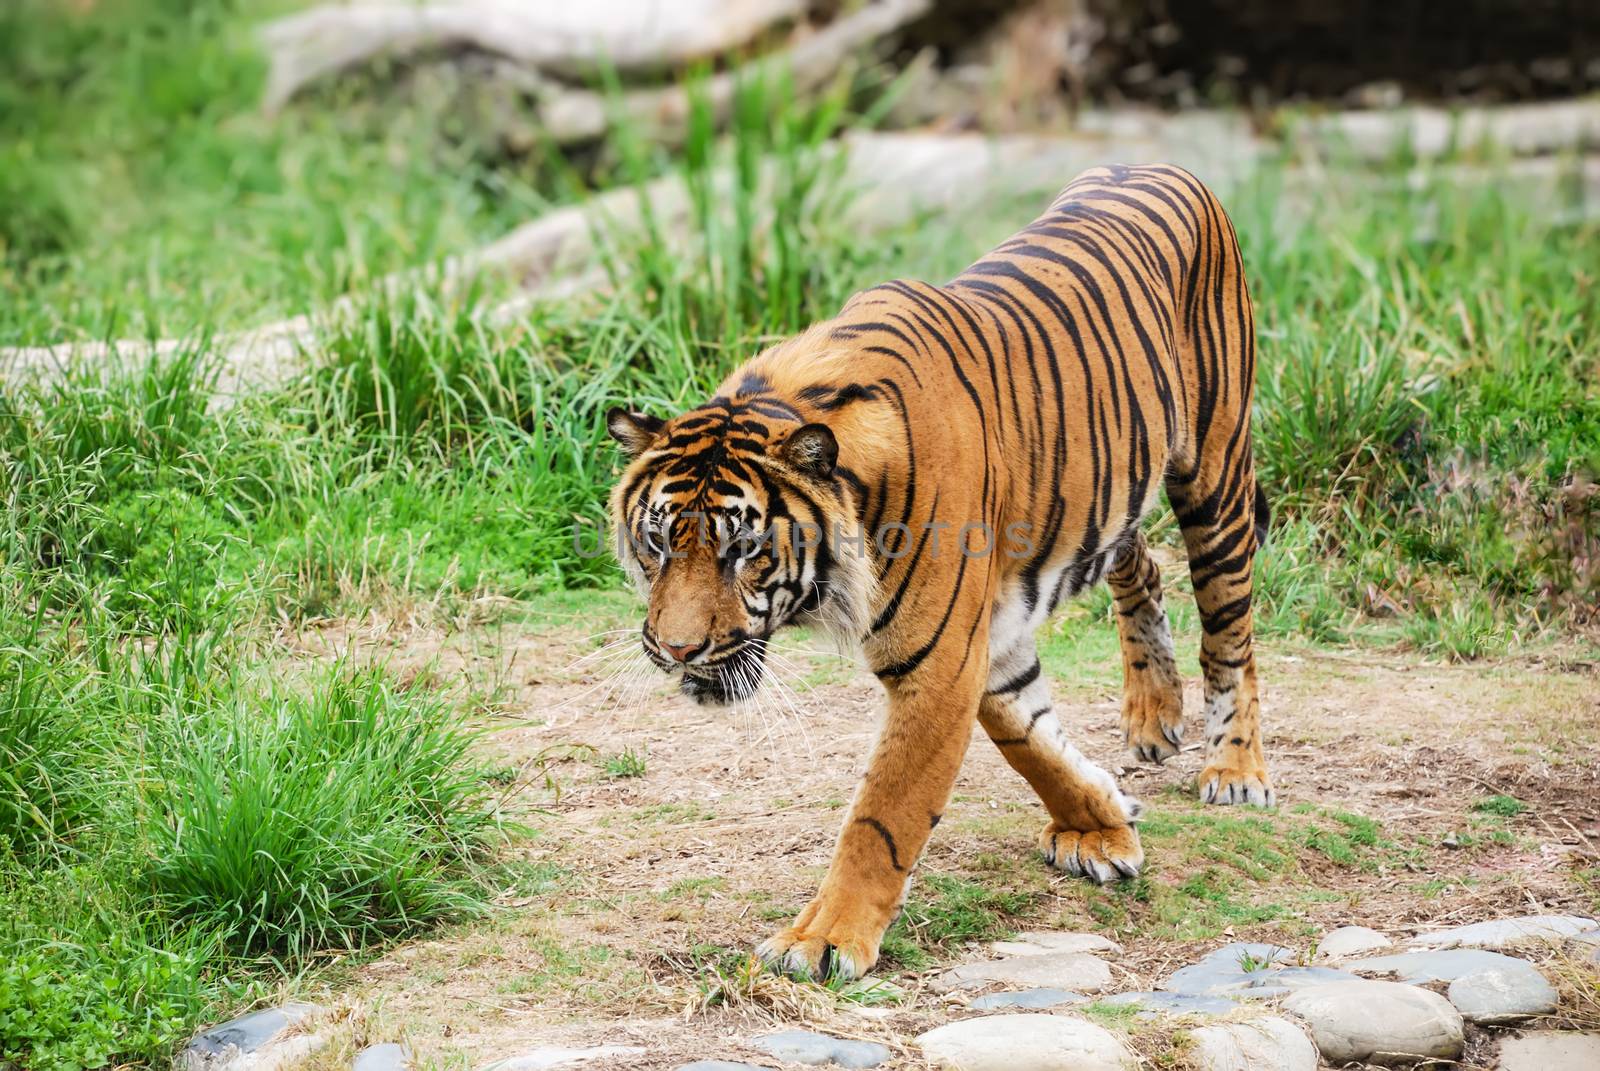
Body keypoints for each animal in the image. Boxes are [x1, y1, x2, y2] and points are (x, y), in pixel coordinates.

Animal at [604, 164, 1267, 979]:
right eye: (658, 543)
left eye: (743, 552)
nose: (677, 650)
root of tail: (1165, 167)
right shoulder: (988, 638)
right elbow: (1027, 736)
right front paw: (1103, 824)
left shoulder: (941, 660)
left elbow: (884, 814)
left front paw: (821, 942)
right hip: (1111, 492)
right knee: (1137, 562)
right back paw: (1153, 717)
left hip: (1215, 474)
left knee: (1230, 635)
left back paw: (1235, 771)